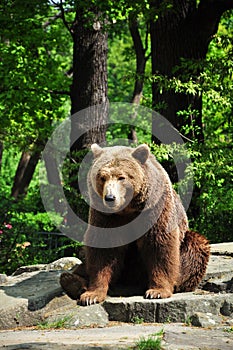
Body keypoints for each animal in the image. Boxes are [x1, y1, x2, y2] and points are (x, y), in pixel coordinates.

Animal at [60, 144, 209, 304]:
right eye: (102, 177)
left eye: (121, 177)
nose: (110, 198)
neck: (127, 209)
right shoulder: (105, 217)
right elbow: (103, 249)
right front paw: (91, 295)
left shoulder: (154, 209)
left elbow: (160, 245)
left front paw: (157, 291)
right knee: (81, 265)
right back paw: (71, 281)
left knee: (195, 247)